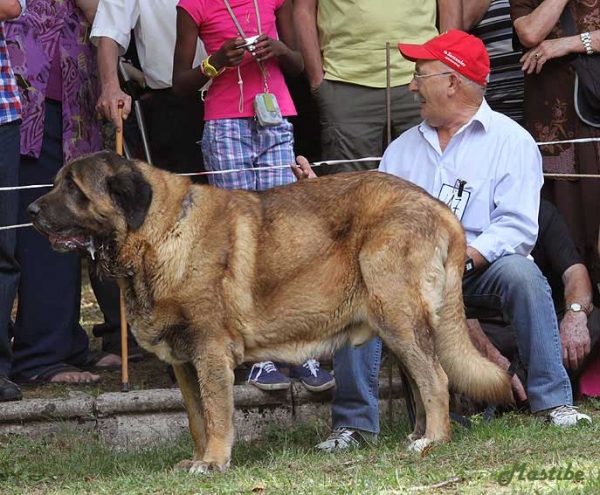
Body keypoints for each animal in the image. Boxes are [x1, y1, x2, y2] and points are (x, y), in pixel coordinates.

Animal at [27, 153, 506, 474]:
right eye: (57, 182)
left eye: (73, 188)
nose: (30, 211)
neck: (159, 234)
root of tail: (442, 210)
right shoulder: (184, 363)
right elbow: (197, 419)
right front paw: (197, 459)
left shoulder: (210, 353)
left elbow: (217, 413)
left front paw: (213, 463)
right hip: (397, 327)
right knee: (422, 382)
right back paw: (417, 435)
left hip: (399, 316)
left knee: (436, 379)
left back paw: (431, 441)